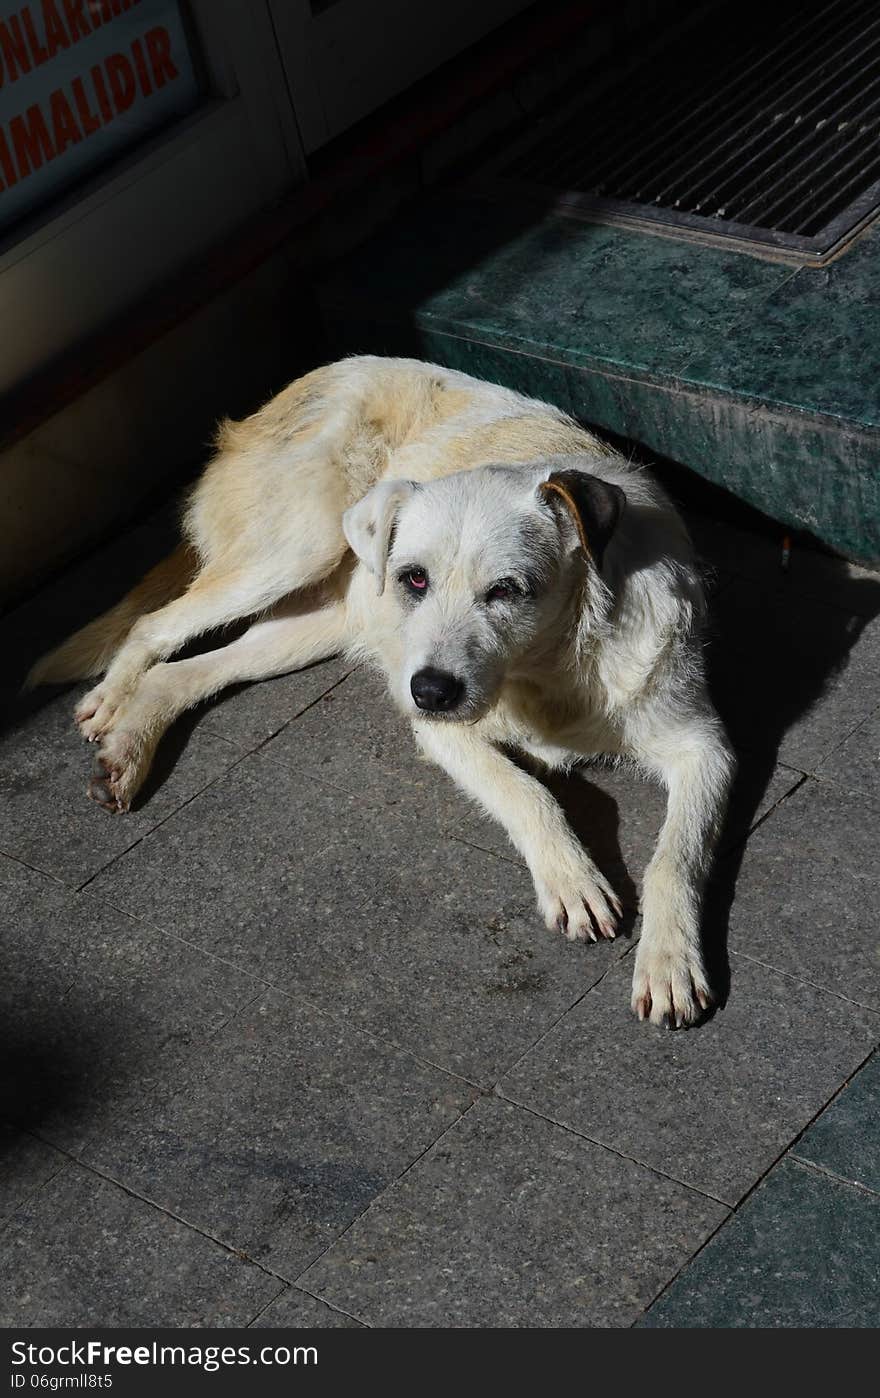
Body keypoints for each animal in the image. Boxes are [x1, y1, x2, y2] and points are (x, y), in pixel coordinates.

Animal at [27, 352, 733, 1028]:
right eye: (414, 578)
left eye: (508, 589)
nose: (430, 692)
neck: (552, 668)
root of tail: (266, 406)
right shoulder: (444, 734)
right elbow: (526, 792)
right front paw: (573, 878)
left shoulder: (706, 750)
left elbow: (674, 858)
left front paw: (668, 961)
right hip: (294, 552)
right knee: (154, 624)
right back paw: (111, 707)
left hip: (318, 621)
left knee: (185, 671)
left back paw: (126, 749)